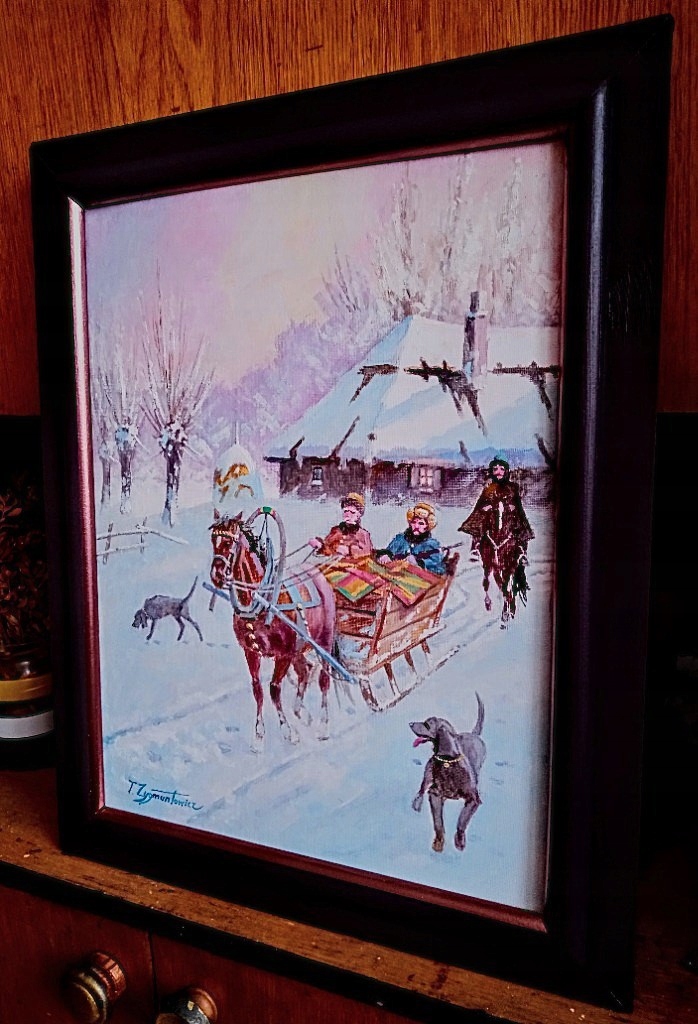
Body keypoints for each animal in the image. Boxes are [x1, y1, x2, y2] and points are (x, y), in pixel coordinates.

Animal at [209, 511, 336, 749]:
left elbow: (274, 690)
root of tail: (317, 573)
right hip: (300, 648)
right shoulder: (251, 652)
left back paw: (323, 726)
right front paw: (259, 736)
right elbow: (258, 690)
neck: (261, 600)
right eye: (213, 540)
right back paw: (302, 712)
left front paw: (288, 732)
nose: (217, 575)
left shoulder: (283, 654)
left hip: (323, 640)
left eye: (229, 542)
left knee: (324, 678)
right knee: (305, 671)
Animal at [410, 694, 485, 853]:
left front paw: (459, 840)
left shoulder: (474, 799)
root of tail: (472, 734)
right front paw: (438, 842)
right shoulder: (434, 794)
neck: (448, 762)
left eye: (427, 724)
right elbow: (438, 822)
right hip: (428, 772)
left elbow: (462, 820)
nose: (410, 723)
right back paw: (417, 803)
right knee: (421, 789)